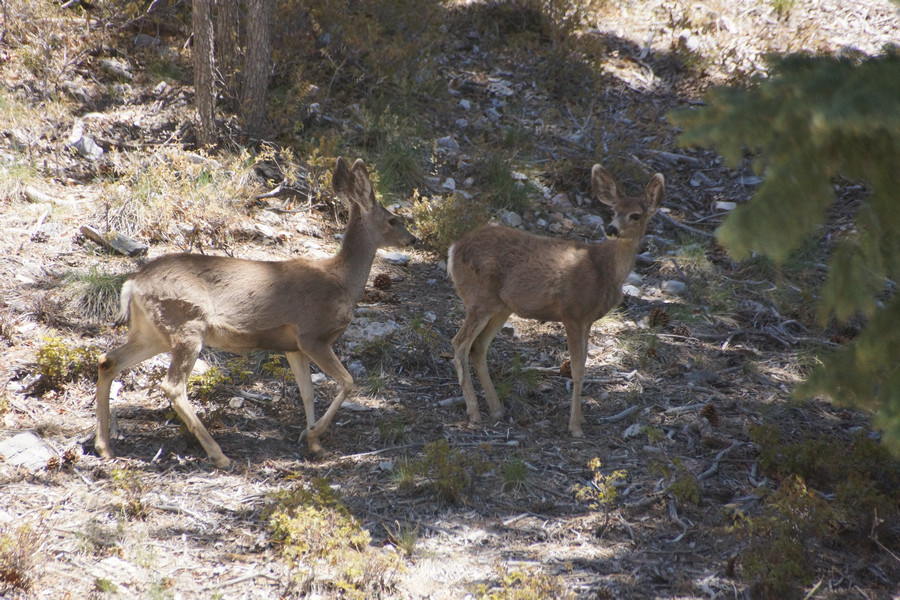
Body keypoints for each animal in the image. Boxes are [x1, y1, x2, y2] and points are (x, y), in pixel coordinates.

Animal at [94, 157, 416, 469]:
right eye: (393, 219)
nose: (412, 239)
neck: (342, 281)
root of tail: (132, 283)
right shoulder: (312, 334)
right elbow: (348, 381)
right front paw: (313, 434)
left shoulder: (293, 346)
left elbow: (307, 392)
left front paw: (313, 443)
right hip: (187, 324)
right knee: (172, 386)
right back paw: (218, 455)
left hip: (152, 332)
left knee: (108, 361)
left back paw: (104, 447)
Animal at [448, 163, 664, 438]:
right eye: (613, 211)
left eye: (635, 215)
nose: (611, 229)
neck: (604, 270)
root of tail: (453, 249)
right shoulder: (571, 312)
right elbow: (578, 369)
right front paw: (575, 427)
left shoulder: (588, 319)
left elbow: (584, 364)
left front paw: (580, 419)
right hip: (480, 298)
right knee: (459, 343)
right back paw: (474, 413)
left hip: (501, 307)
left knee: (478, 347)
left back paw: (496, 409)